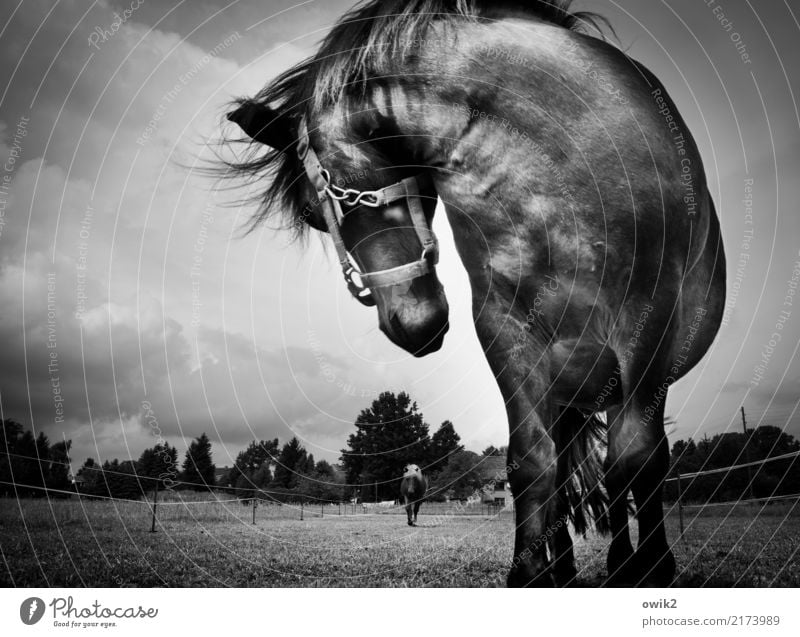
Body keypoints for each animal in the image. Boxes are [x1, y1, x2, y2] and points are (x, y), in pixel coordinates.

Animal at [223, 0, 724, 588]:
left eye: (312, 210)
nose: (408, 326)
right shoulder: (506, 327)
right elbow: (531, 462)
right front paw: (531, 572)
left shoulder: (649, 321)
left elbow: (639, 460)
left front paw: (650, 568)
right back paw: (567, 563)